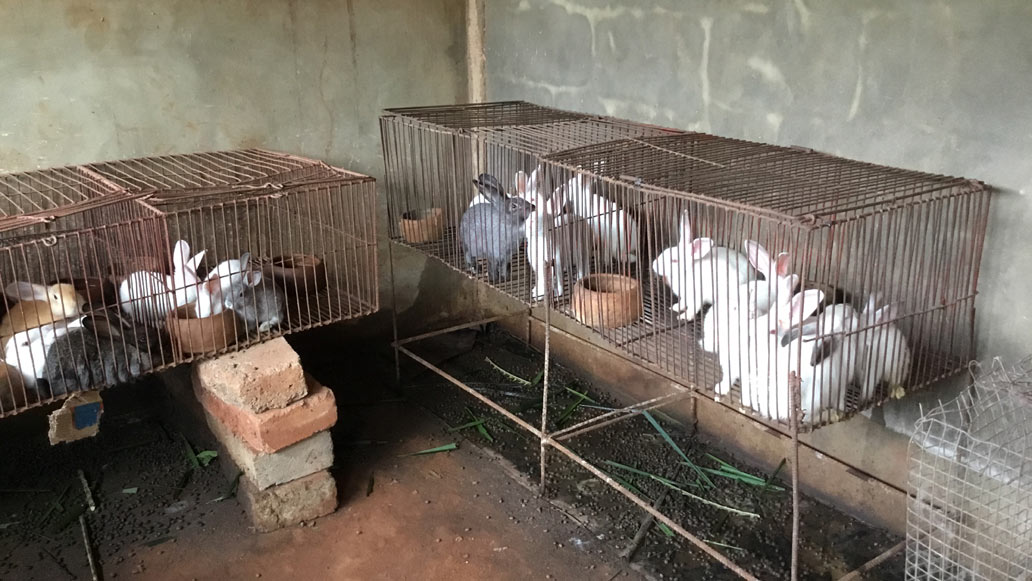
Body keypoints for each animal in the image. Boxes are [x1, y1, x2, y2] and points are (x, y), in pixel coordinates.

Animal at [520, 169, 594, 299]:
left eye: (545, 218)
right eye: (527, 216)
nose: (531, 222)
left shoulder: (557, 259)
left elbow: (559, 278)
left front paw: (558, 293)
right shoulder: (537, 265)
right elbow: (541, 279)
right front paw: (537, 292)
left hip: (582, 250)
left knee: (583, 266)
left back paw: (579, 278)